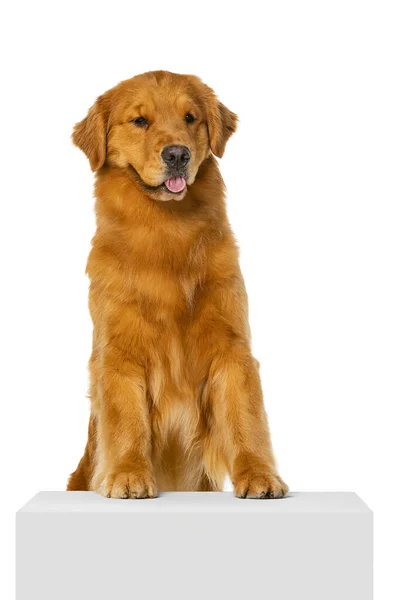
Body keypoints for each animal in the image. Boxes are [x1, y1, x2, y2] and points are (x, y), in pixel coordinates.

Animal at [68, 70, 288, 500]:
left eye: (190, 118)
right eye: (140, 121)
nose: (177, 155)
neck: (168, 231)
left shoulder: (231, 346)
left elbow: (246, 415)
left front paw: (259, 475)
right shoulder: (118, 352)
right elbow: (125, 419)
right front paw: (128, 474)